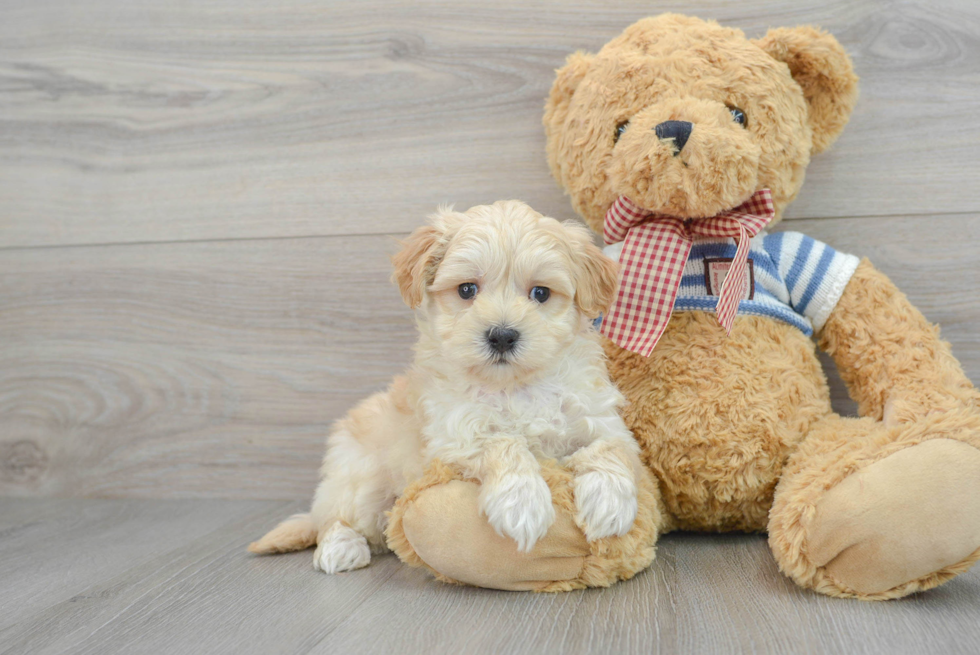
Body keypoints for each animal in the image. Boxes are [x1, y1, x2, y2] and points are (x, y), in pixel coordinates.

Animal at [249, 200, 640, 576]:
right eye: (467, 289)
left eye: (541, 293)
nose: (502, 335)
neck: (514, 387)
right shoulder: (454, 437)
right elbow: (503, 442)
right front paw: (522, 503)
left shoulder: (601, 418)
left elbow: (610, 447)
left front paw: (610, 503)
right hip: (360, 479)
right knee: (336, 519)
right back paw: (340, 548)